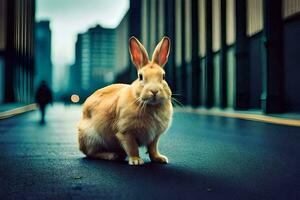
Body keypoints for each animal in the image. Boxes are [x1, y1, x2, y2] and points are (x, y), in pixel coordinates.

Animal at [77, 36, 173, 166]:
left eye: (163, 76)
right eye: (140, 77)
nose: (154, 91)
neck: (149, 105)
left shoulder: (155, 136)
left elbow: (153, 148)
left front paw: (160, 159)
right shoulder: (126, 132)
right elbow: (132, 148)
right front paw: (136, 161)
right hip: (91, 137)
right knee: (91, 153)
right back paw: (113, 155)